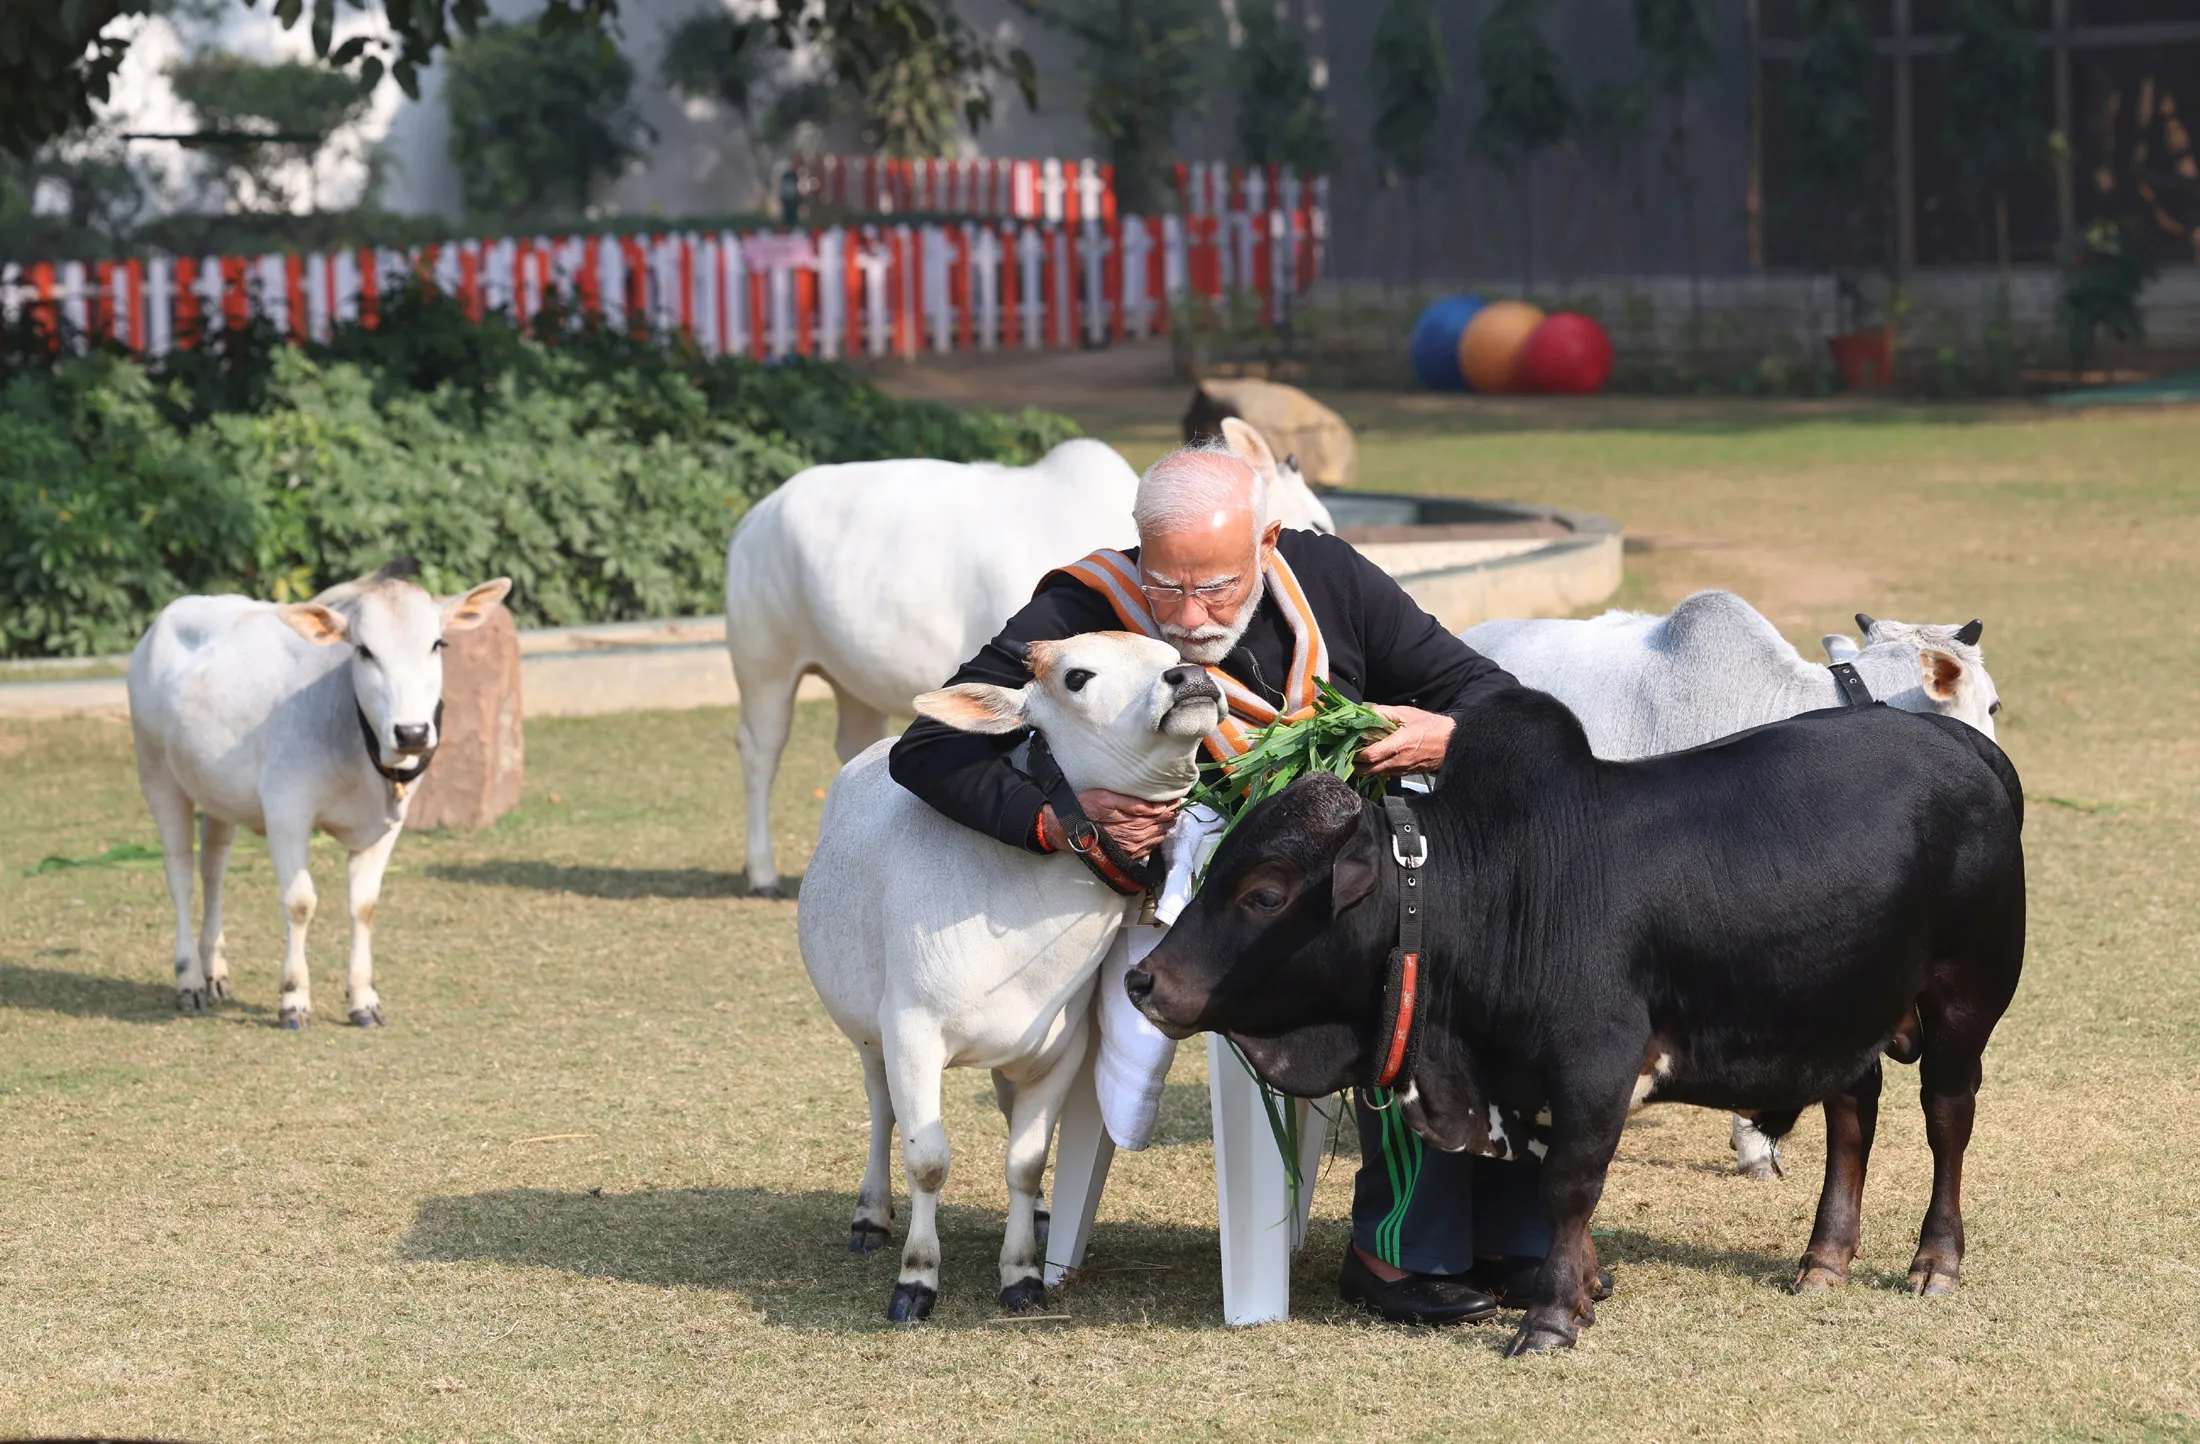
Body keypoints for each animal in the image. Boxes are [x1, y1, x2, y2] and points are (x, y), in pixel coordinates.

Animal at [127, 554, 510, 1025]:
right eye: (364, 650)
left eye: (438, 644)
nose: (412, 732)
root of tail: (172, 613)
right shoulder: (286, 810)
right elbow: (300, 902)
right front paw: (294, 998)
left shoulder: (386, 825)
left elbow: (364, 905)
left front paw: (364, 998)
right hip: (156, 771)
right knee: (180, 873)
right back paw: (190, 979)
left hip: (218, 791)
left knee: (213, 868)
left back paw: (213, 968)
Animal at [730, 418, 1328, 898]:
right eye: (1321, 522)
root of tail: (757, 515)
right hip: (765, 663)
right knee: (760, 751)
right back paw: (761, 872)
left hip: (851, 683)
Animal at [800, 633, 1232, 1320]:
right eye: (1077, 677)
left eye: (1168, 652)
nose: (1189, 677)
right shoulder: (911, 1033)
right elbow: (928, 1162)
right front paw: (916, 1280)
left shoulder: (1060, 1049)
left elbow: (1025, 1164)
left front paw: (1023, 1272)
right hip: (867, 1032)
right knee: (881, 1108)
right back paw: (870, 1216)